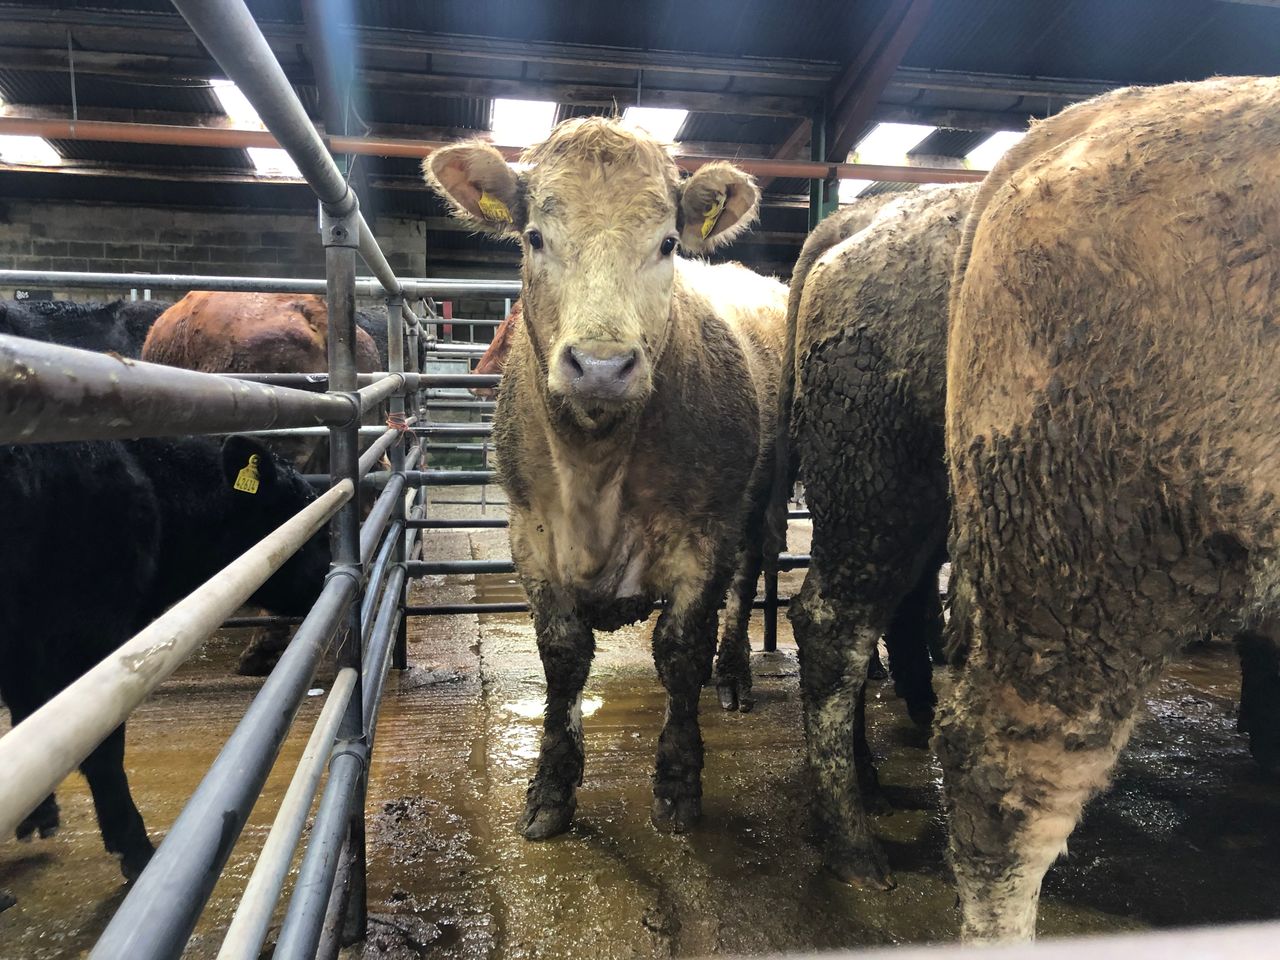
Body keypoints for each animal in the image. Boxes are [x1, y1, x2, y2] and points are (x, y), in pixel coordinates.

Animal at [0, 435, 328, 893]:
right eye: (306, 507)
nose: (331, 572)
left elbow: (28, 717)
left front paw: (37, 811)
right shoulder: (85, 634)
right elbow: (100, 746)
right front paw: (134, 847)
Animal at [424, 117, 786, 836]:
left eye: (668, 242)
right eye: (536, 236)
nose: (600, 365)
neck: (594, 464)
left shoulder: (701, 535)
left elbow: (679, 649)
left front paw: (677, 783)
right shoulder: (530, 533)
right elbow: (563, 658)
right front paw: (550, 790)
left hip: (767, 492)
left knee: (749, 573)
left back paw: (731, 673)